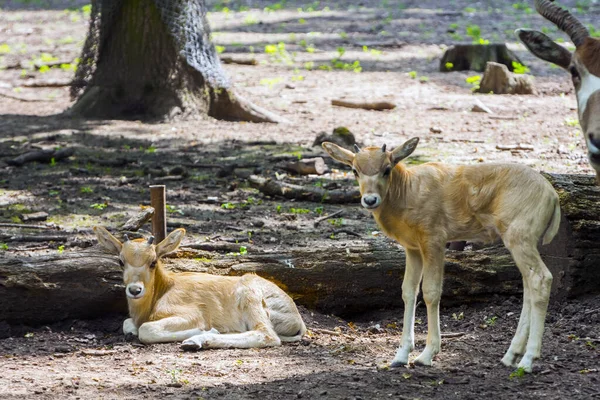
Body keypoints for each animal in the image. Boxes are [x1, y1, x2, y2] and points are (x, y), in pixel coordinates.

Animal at [96, 227, 310, 348]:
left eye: (153, 261)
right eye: (121, 261)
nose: (135, 290)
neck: (164, 289)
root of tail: (296, 317)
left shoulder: (192, 314)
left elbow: (146, 329)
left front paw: (204, 331)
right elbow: (127, 324)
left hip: (250, 296)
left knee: (266, 334)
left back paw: (197, 341)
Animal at [324, 139, 564, 374]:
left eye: (386, 168)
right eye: (354, 169)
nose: (370, 200)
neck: (409, 191)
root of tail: (552, 196)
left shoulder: (435, 241)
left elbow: (431, 292)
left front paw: (426, 355)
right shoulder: (412, 248)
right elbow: (408, 292)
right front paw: (400, 357)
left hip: (519, 238)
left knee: (541, 279)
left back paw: (528, 360)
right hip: (523, 242)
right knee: (528, 285)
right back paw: (510, 356)